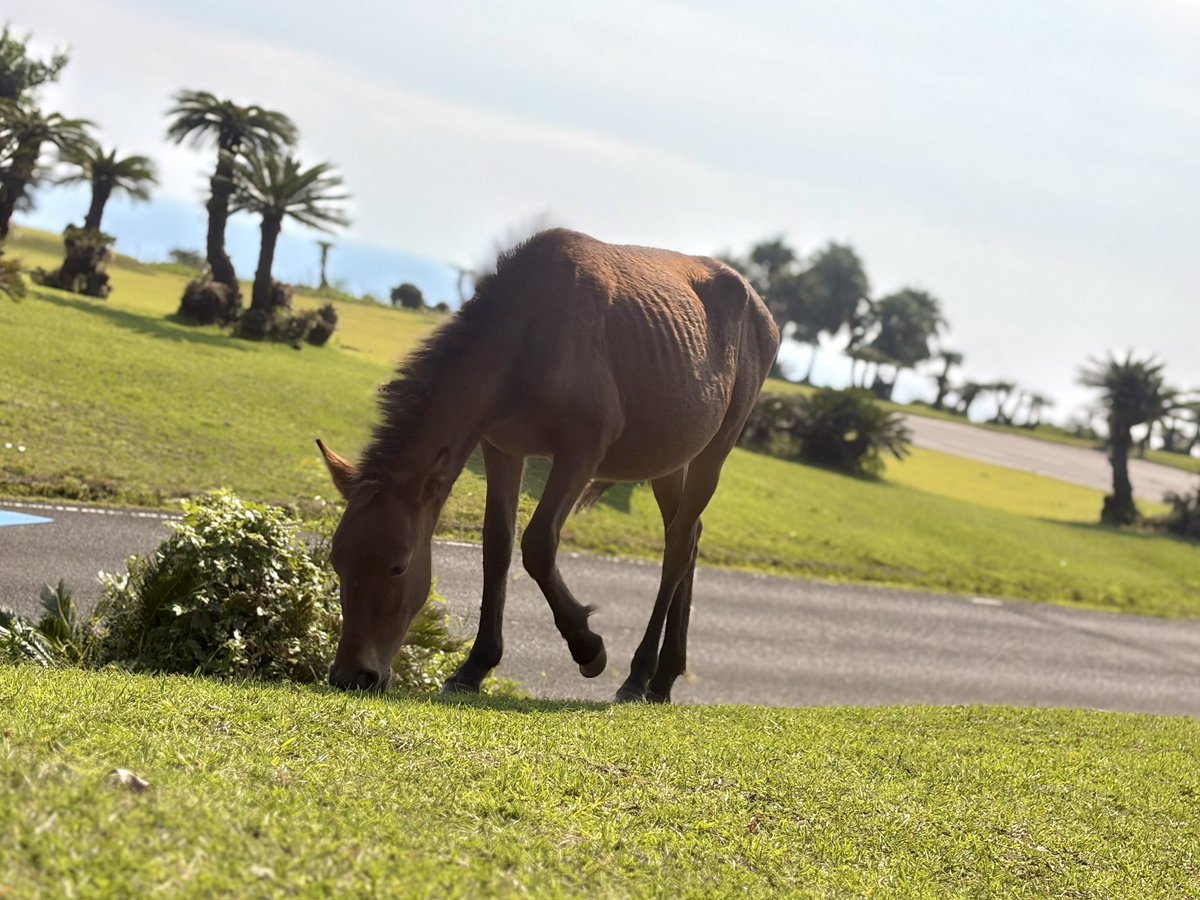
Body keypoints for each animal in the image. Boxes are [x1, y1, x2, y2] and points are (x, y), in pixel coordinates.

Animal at [318, 228, 779, 702]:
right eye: (337, 560)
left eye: (399, 565)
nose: (352, 675)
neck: (528, 335)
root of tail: (763, 312)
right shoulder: (502, 447)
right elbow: (497, 544)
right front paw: (474, 667)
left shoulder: (582, 450)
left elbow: (538, 544)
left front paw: (588, 646)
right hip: (670, 459)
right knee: (687, 536)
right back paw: (665, 676)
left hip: (717, 448)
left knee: (680, 546)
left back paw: (639, 675)